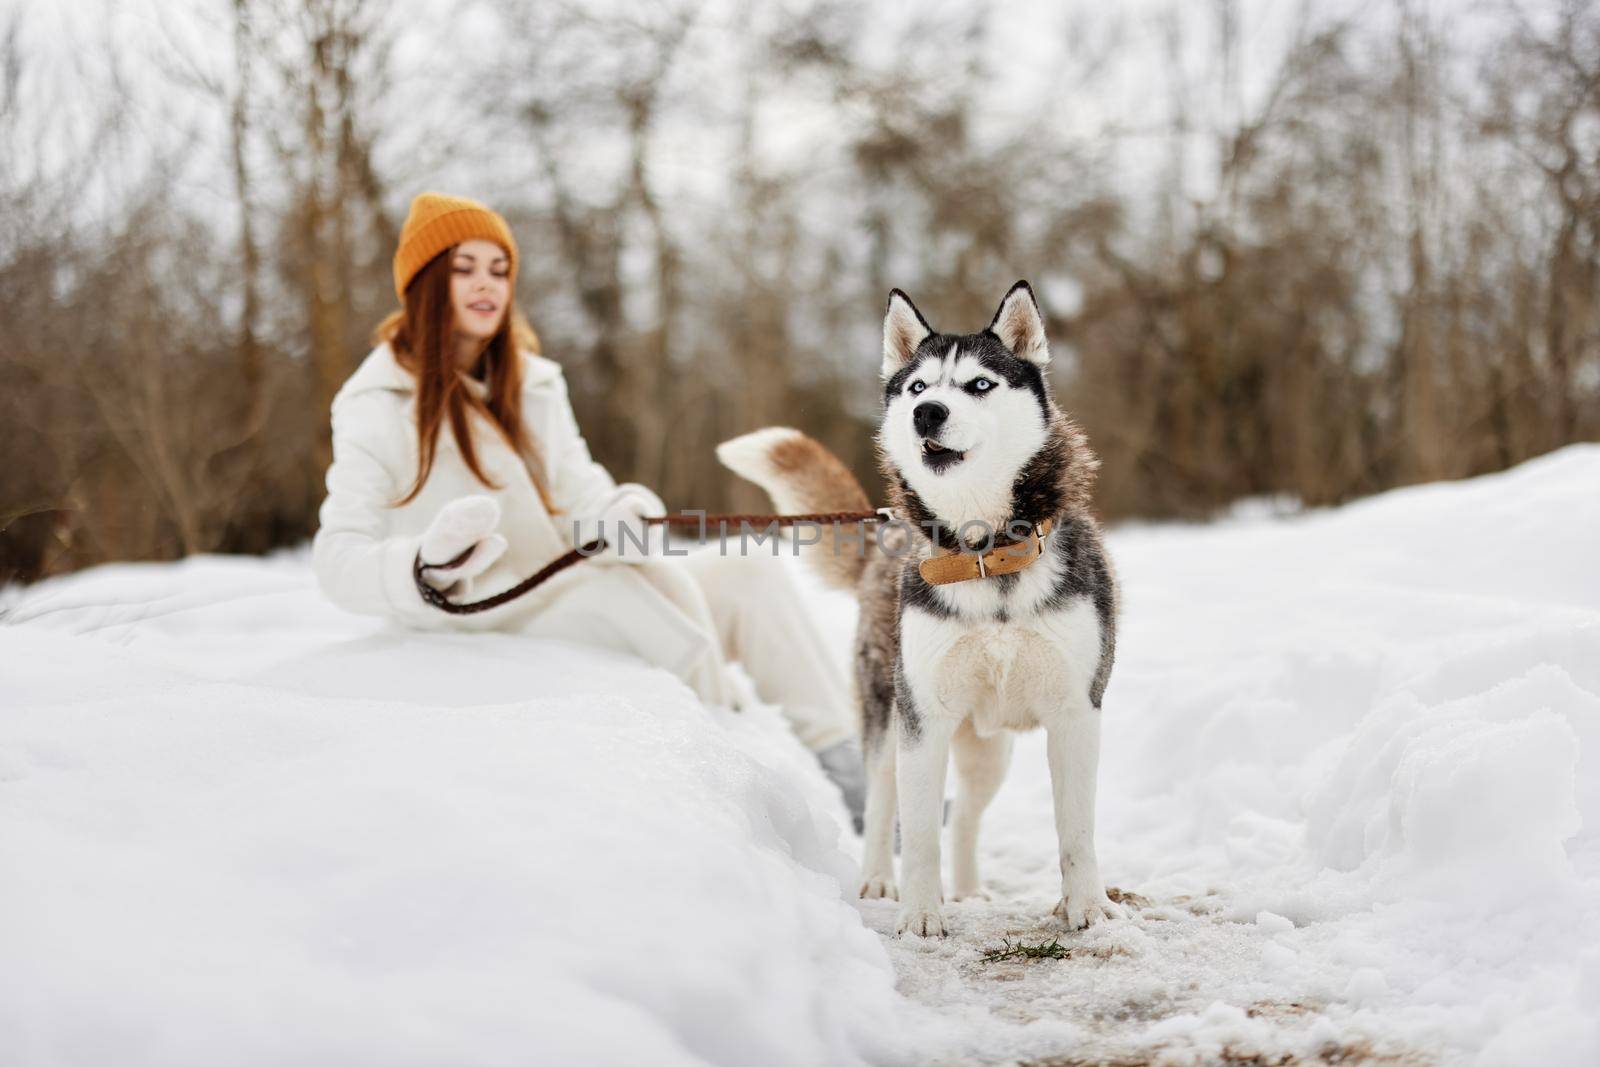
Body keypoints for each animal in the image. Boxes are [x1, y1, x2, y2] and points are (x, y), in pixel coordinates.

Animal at [720, 281, 1120, 934]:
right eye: (917, 387)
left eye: (979, 384)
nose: (927, 413)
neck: (985, 554)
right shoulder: (922, 717)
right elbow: (921, 830)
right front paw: (920, 915)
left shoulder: (1076, 710)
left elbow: (1076, 830)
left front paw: (1086, 907)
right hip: (888, 716)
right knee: (885, 802)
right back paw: (879, 880)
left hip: (990, 749)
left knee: (967, 817)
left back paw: (972, 891)